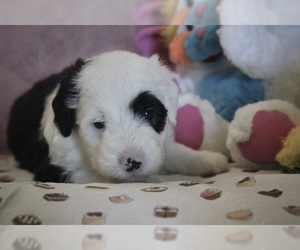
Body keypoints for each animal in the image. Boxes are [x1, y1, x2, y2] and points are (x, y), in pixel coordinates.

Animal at [7, 51, 227, 184]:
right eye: (98, 124)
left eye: (149, 114)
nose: (133, 161)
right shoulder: (56, 169)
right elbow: (105, 177)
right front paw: (154, 179)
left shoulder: (159, 144)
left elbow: (173, 151)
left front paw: (207, 159)